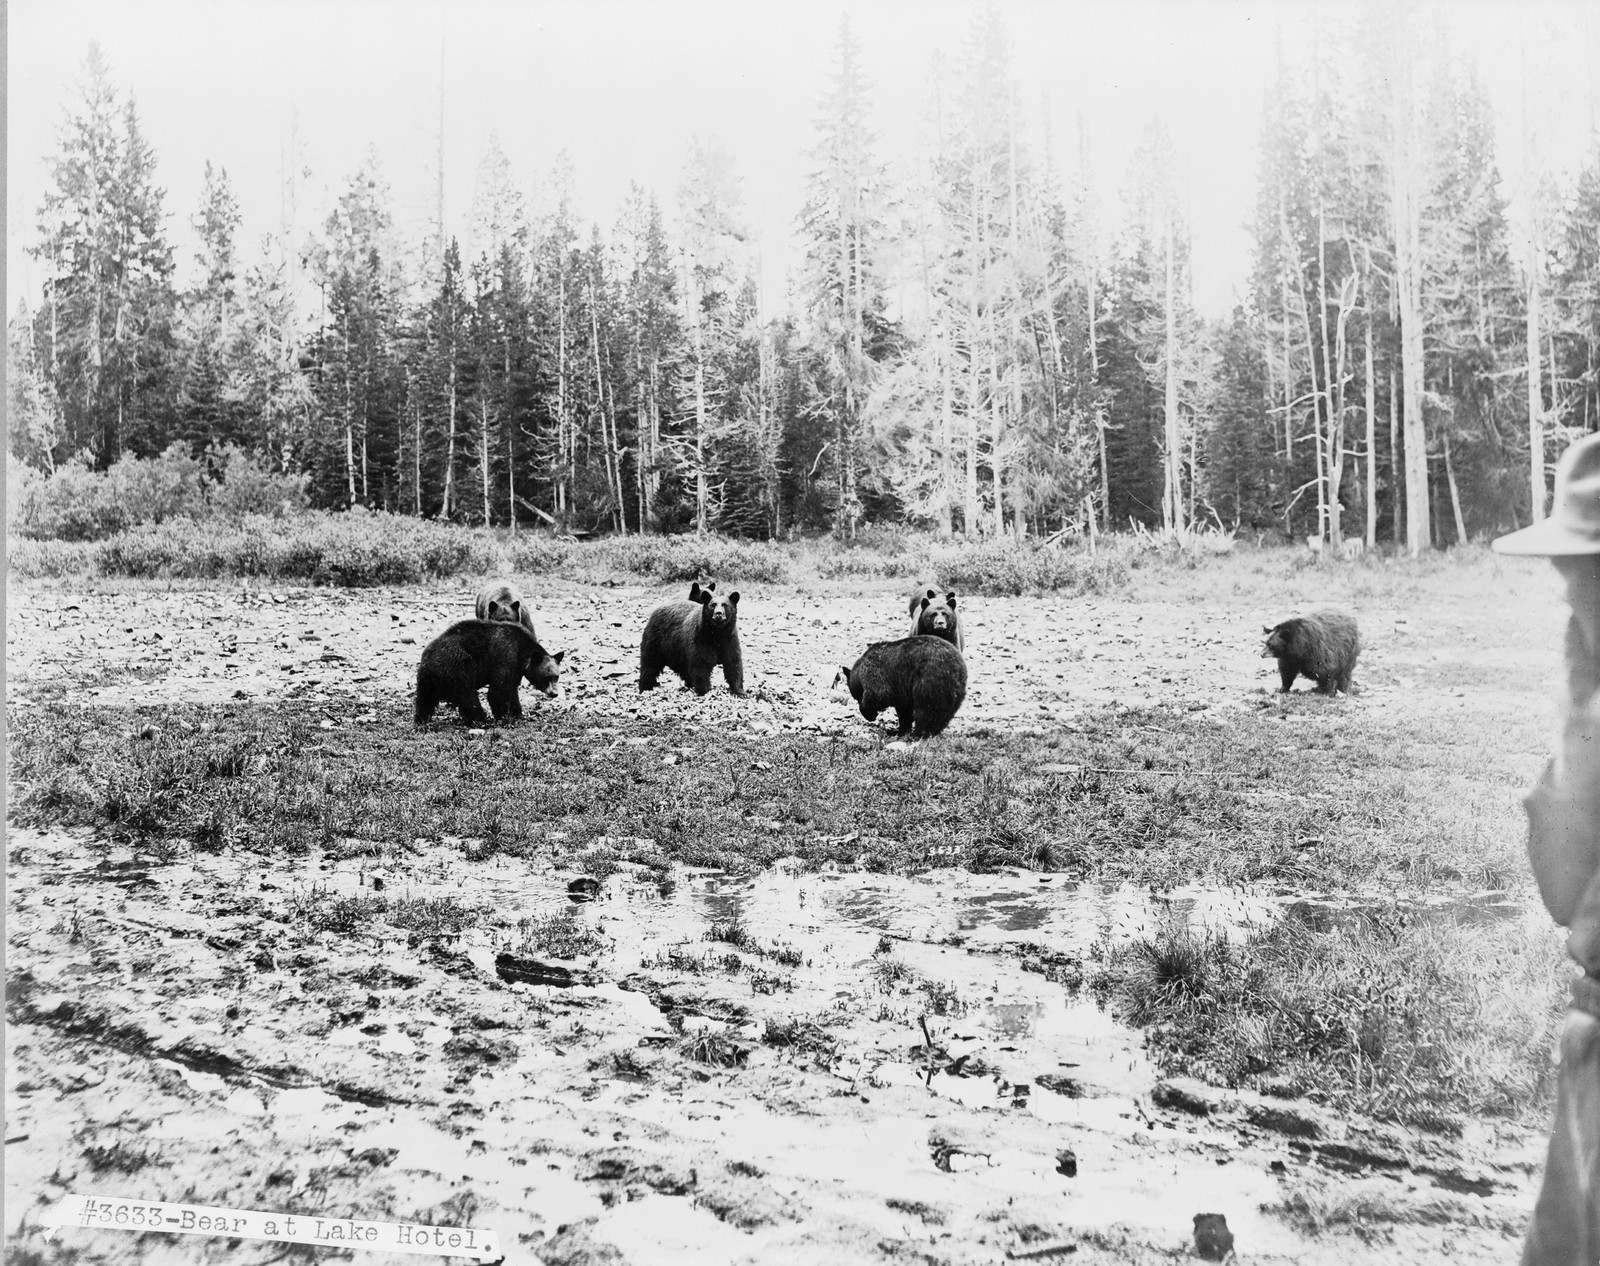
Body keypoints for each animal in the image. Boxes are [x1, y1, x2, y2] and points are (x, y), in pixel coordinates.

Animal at [415, 619, 565, 726]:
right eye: (547, 677)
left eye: (556, 677)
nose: (554, 693)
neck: (521, 651)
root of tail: (428, 660)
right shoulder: (505, 657)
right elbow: (499, 691)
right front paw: (505, 717)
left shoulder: (516, 669)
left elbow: (512, 690)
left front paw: (517, 713)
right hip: (456, 668)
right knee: (467, 697)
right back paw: (481, 719)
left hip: (426, 680)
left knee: (424, 700)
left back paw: (421, 719)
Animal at [837, 635, 967, 738]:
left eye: (856, 696)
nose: (859, 700)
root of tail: (957, 668)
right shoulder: (902, 690)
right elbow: (904, 710)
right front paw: (900, 730)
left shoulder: (875, 669)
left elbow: (880, 693)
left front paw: (869, 713)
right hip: (955, 693)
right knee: (944, 714)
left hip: (929, 679)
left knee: (926, 709)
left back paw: (918, 733)